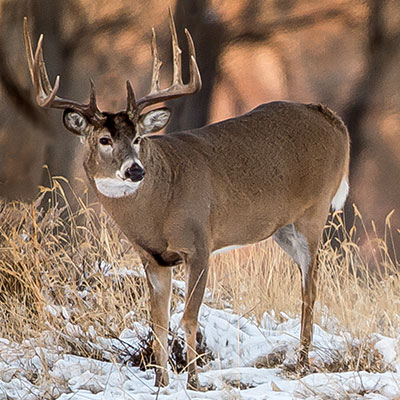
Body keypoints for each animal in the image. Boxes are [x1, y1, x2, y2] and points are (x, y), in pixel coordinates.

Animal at [25, 12, 350, 390]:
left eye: (138, 138)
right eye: (104, 139)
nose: (135, 170)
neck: (160, 208)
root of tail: (331, 117)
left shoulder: (200, 244)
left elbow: (189, 318)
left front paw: (194, 380)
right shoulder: (152, 258)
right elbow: (158, 321)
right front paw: (160, 381)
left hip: (314, 212)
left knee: (310, 290)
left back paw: (302, 364)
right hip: (282, 228)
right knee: (307, 285)